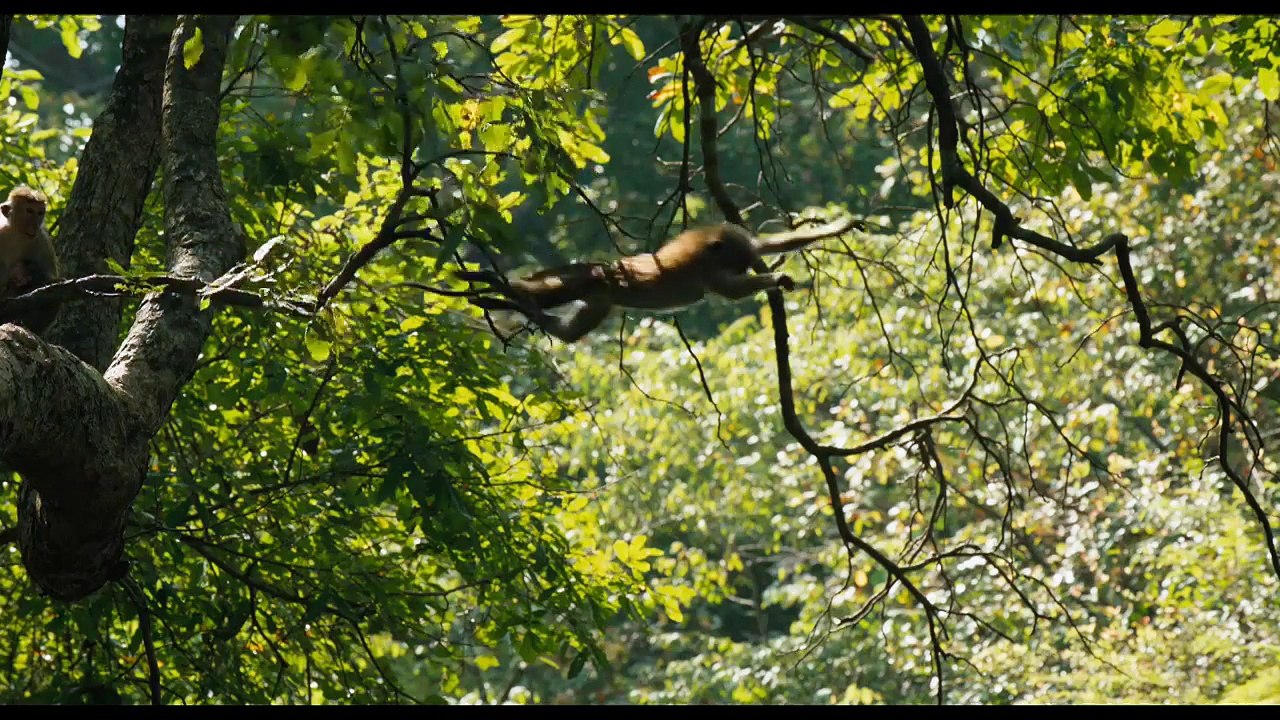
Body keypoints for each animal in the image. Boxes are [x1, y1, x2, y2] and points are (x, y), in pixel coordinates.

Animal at [0, 186, 62, 333]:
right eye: (29, 211)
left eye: (40, 213)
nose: (34, 225)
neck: (17, 235)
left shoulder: (41, 241)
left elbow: (49, 277)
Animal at [458, 216, 859, 343]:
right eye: (739, 265)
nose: (750, 267)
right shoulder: (709, 270)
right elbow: (731, 293)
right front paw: (777, 276)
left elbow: (775, 241)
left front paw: (840, 226)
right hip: (594, 279)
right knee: (552, 290)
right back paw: (502, 291)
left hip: (596, 291)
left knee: (572, 322)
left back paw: (524, 309)